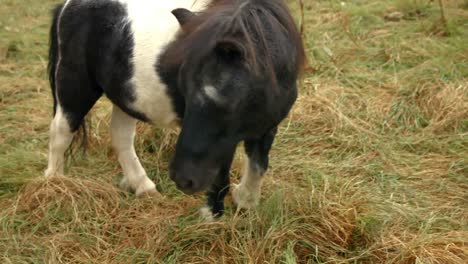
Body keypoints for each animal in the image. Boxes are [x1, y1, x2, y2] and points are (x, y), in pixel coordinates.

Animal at [45, 0, 306, 219]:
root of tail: (68, 7)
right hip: (74, 88)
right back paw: (55, 184)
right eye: (184, 87)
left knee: (121, 137)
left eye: (221, 97)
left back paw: (144, 187)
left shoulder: (265, 127)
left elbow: (258, 164)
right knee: (60, 133)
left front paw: (246, 204)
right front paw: (212, 218)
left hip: (126, 97)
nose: (183, 179)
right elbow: (221, 173)